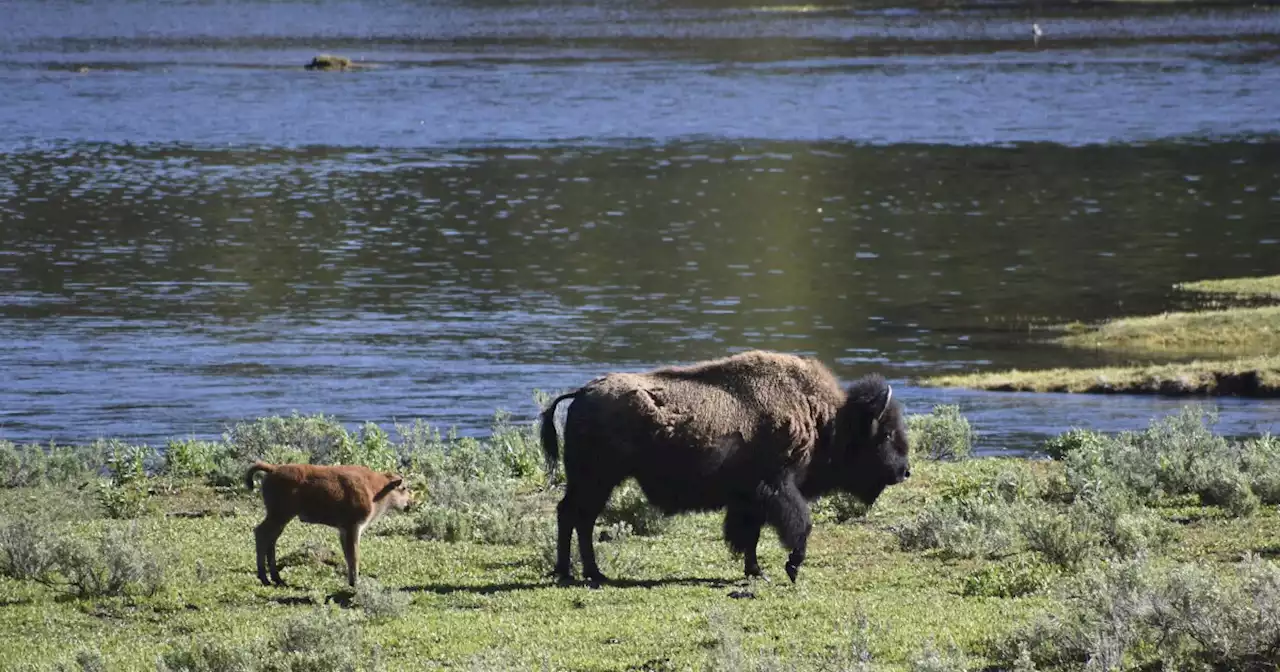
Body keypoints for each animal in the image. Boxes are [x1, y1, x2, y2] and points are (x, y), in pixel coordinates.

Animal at [241, 460, 412, 586]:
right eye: (403, 488)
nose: (410, 504)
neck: (377, 488)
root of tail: (273, 469)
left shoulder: (344, 530)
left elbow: (348, 556)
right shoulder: (353, 527)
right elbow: (354, 556)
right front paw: (355, 583)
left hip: (281, 518)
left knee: (271, 539)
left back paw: (277, 579)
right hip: (280, 515)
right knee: (261, 533)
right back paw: (265, 579)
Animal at [540, 348, 911, 583]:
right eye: (886, 433)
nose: (905, 471)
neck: (825, 419)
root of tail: (583, 393)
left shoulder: (750, 499)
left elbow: (749, 536)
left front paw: (756, 571)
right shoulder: (777, 488)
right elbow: (799, 525)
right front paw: (790, 568)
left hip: (593, 482)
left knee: (575, 516)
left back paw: (583, 572)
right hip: (596, 480)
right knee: (576, 517)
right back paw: (579, 573)